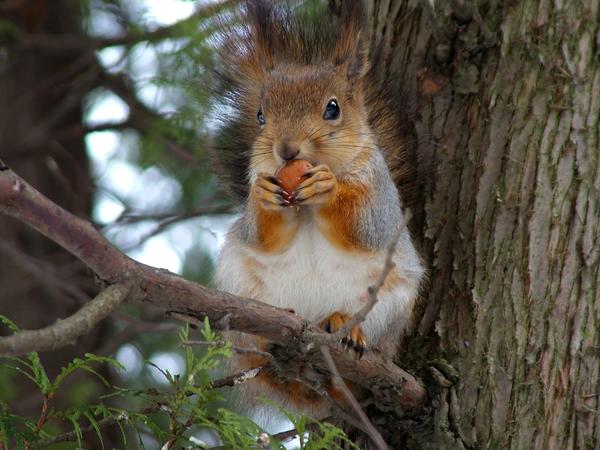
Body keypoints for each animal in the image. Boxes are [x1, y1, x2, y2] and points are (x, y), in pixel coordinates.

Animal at [211, 0, 422, 428]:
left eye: (333, 108)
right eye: (260, 115)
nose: (286, 150)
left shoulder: (381, 197)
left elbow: (366, 225)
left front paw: (328, 188)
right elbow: (259, 233)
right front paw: (264, 197)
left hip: (389, 306)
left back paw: (345, 327)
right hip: (237, 286)